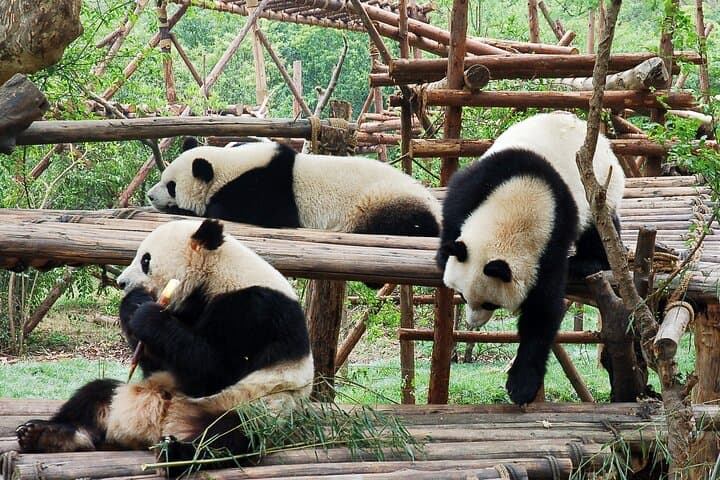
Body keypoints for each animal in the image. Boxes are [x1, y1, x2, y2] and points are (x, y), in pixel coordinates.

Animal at [16, 219, 313, 474]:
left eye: (146, 260)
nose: (121, 283)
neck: (217, 274)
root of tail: (155, 428)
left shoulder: (255, 310)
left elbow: (213, 370)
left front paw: (147, 315)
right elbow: (159, 360)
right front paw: (133, 304)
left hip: (254, 407)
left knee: (229, 435)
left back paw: (177, 453)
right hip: (129, 393)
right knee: (94, 393)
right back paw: (45, 435)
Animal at [146, 138, 440, 238]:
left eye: (171, 186)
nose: (149, 195)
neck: (229, 165)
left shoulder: (266, 186)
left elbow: (268, 213)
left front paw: (193, 210)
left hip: (379, 200)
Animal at [436, 111, 624, 406]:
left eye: (490, 304)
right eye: (463, 297)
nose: (472, 323)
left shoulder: (552, 243)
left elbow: (542, 311)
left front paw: (521, 385)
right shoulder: (483, 179)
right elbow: (454, 211)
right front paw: (444, 253)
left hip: (601, 183)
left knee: (600, 224)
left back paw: (588, 262)